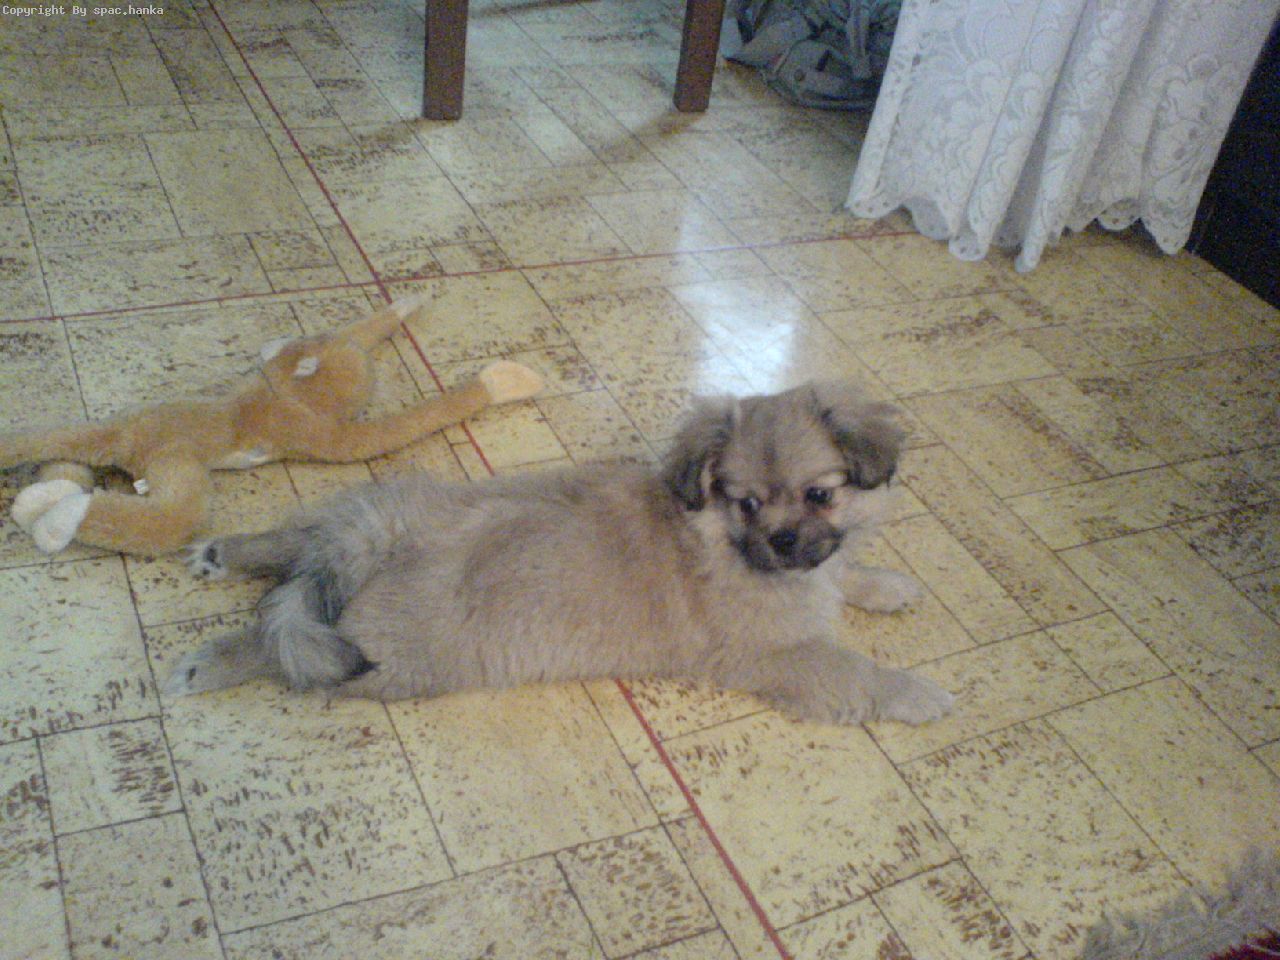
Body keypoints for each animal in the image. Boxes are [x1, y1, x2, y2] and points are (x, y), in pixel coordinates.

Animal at [166, 382, 954, 727]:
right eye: (747, 503)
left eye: (819, 495)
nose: (785, 542)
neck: (717, 539)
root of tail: (373, 552)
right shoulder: (778, 655)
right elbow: (855, 671)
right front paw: (918, 694)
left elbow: (844, 571)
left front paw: (886, 584)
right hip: (391, 660)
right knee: (283, 646)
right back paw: (207, 663)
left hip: (380, 509)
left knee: (293, 552)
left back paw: (223, 551)